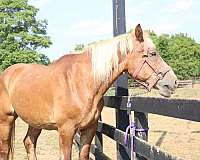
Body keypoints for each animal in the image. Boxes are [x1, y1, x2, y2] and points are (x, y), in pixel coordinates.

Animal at [0, 24, 178, 160]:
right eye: (153, 53)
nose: (173, 82)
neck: (80, 83)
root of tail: (7, 73)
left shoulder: (89, 129)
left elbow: (83, 155)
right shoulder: (66, 131)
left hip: (35, 122)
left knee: (29, 143)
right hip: (6, 120)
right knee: (5, 149)